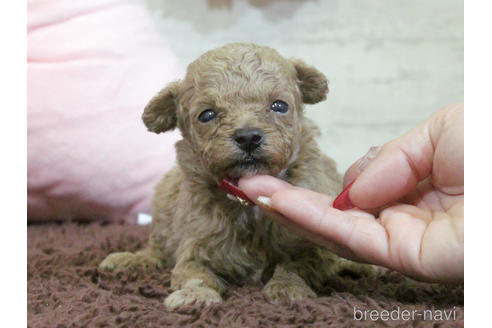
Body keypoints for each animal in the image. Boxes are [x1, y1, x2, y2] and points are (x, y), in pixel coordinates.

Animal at [100, 41, 364, 310]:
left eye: (280, 106)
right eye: (207, 115)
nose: (248, 137)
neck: (246, 204)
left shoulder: (315, 249)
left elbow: (297, 265)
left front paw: (288, 288)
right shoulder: (197, 247)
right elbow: (195, 274)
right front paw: (195, 295)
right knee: (156, 249)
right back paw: (127, 260)